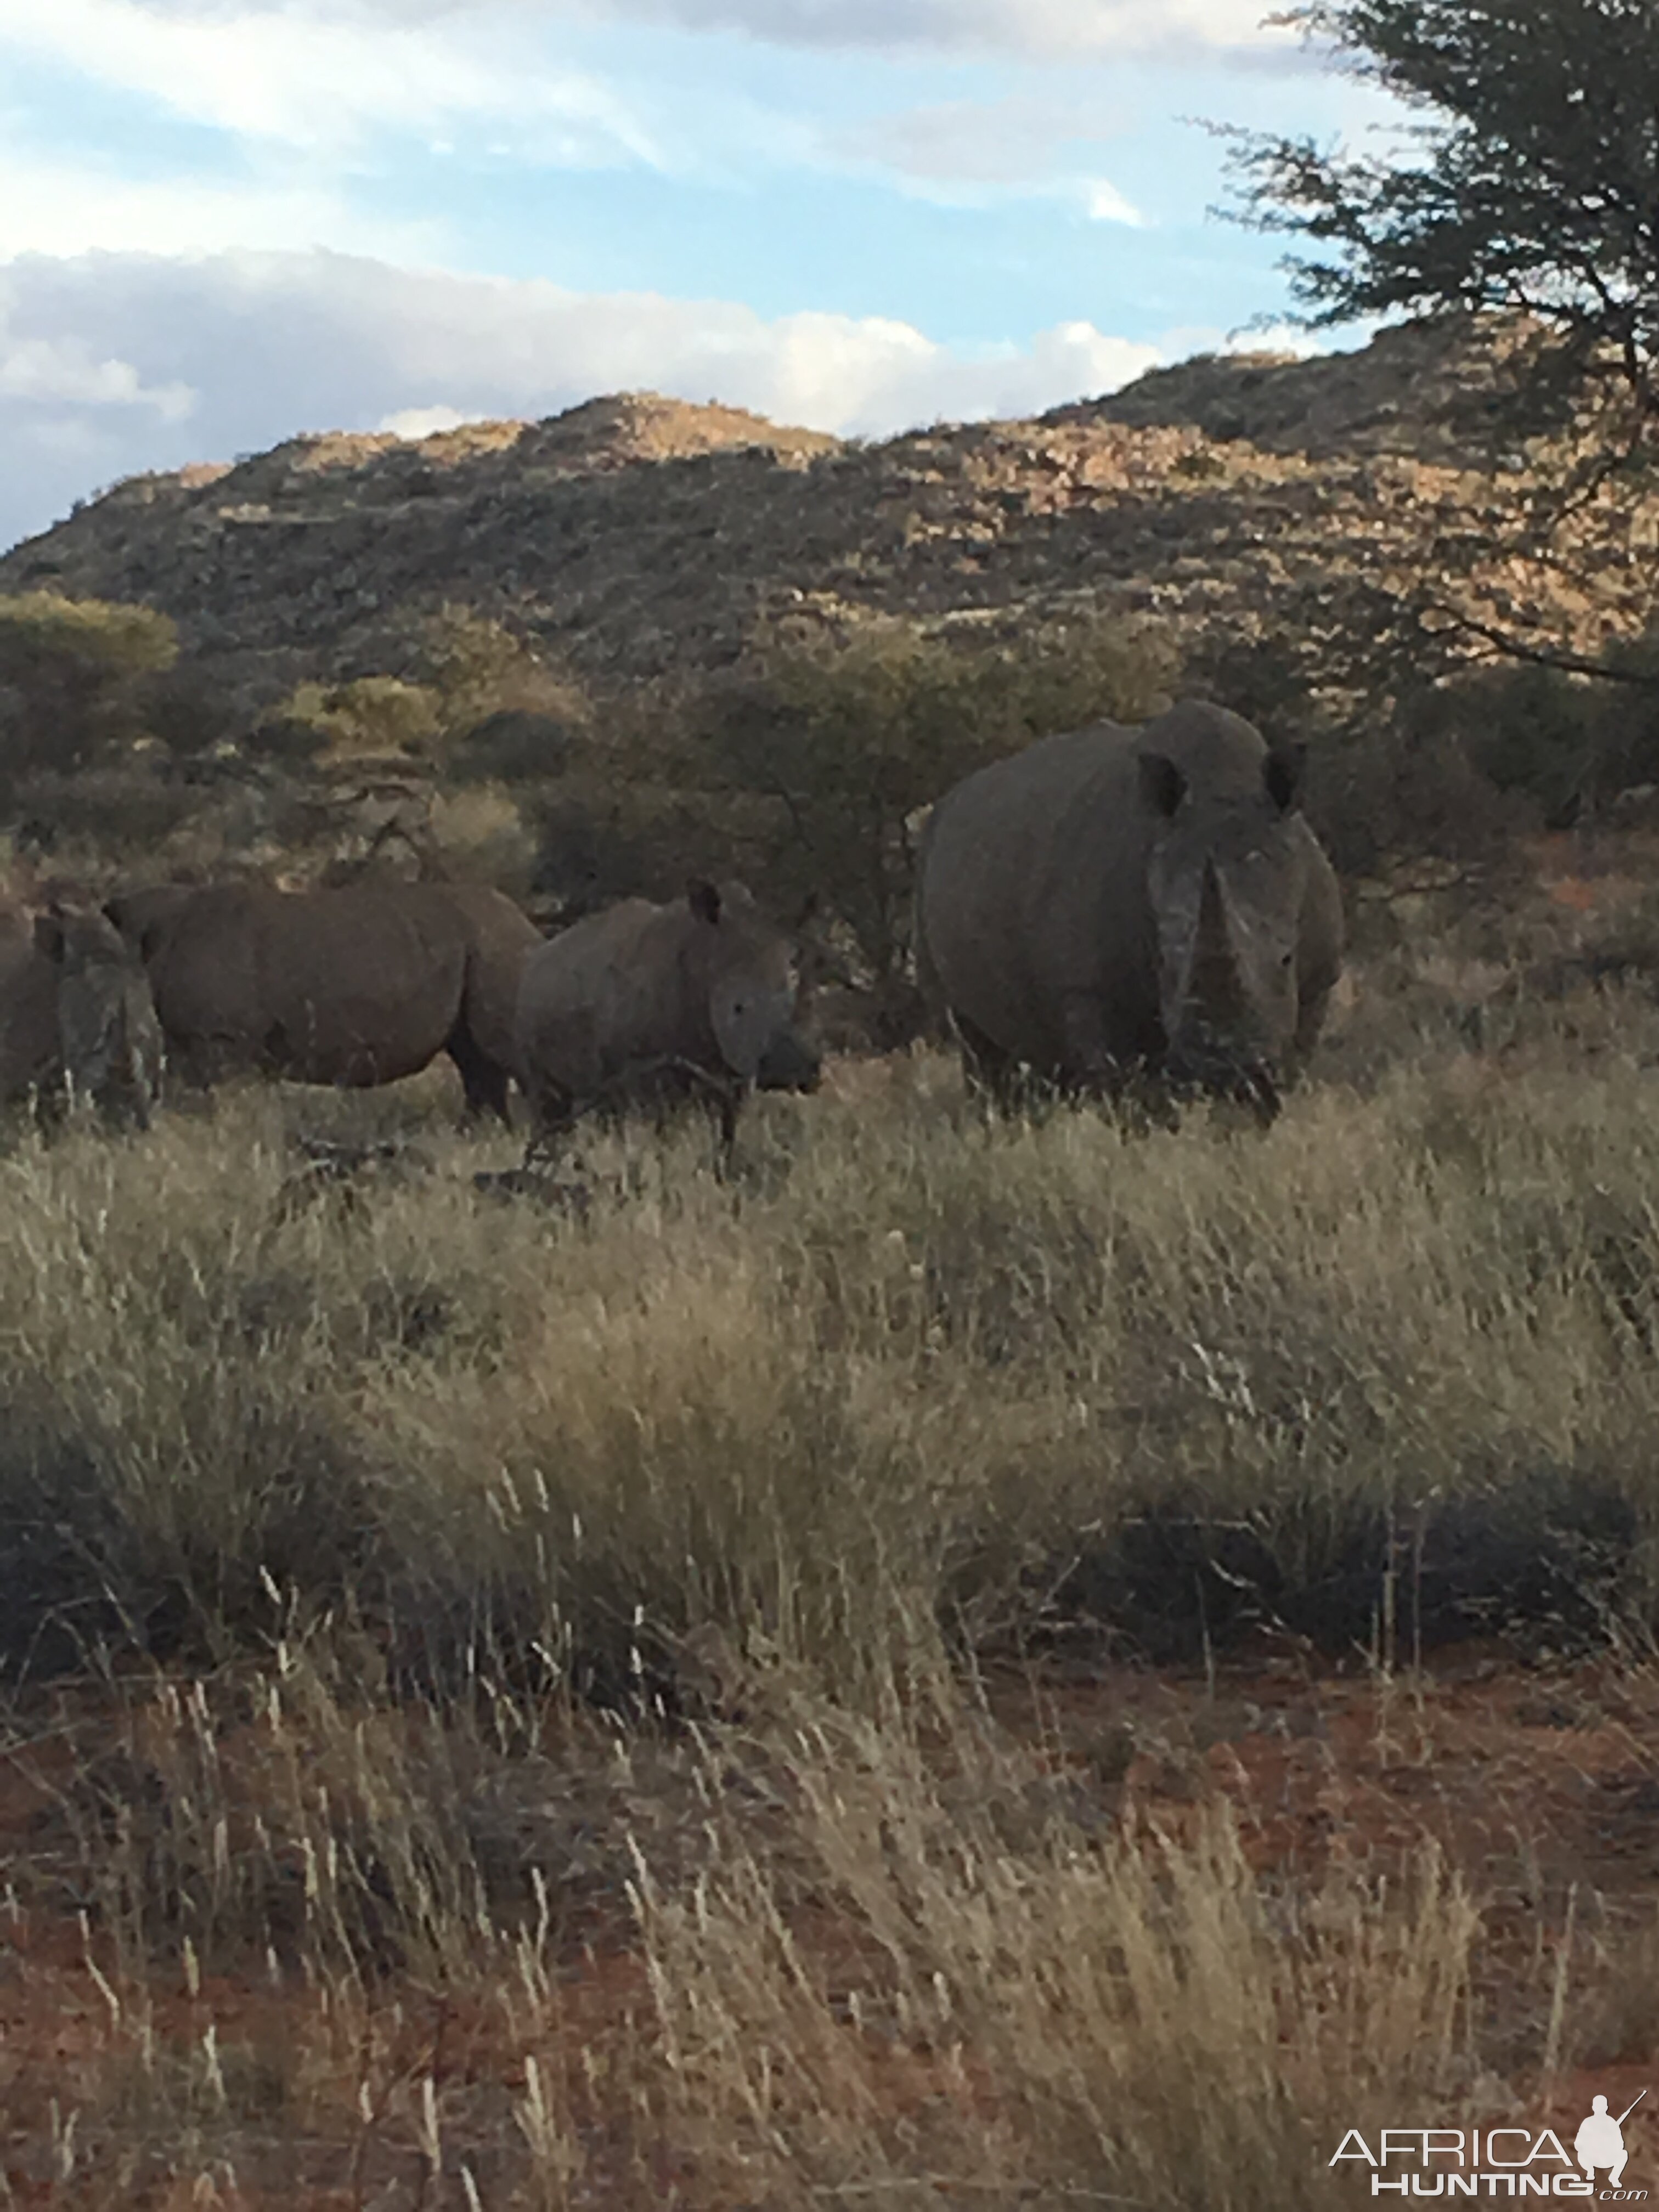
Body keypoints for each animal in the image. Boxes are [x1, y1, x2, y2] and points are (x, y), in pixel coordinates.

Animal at [513, 876, 827, 1167]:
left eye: (809, 998)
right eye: (737, 1009)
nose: (791, 1069)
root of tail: (535, 958)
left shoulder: (729, 1073)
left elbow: (727, 1136)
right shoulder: (647, 1078)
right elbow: (661, 1137)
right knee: (548, 1103)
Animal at [924, 699, 1353, 1124]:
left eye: (1287, 959)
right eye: (1163, 964)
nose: (1220, 1067)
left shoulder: (1319, 979)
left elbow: (1281, 1077)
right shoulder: (1090, 988)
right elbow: (1133, 1097)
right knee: (981, 1049)